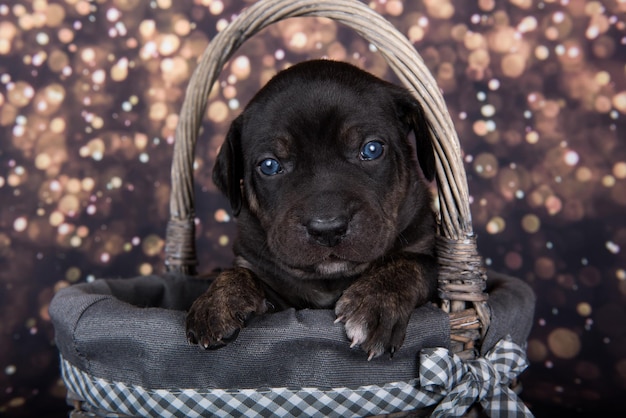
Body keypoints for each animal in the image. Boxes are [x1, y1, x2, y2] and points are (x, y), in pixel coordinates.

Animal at [186, 59, 438, 360]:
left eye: (372, 149)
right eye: (269, 165)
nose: (327, 229)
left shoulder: (432, 257)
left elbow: (410, 262)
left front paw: (377, 301)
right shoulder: (260, 270)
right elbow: (238, 271)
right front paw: (216, 302)